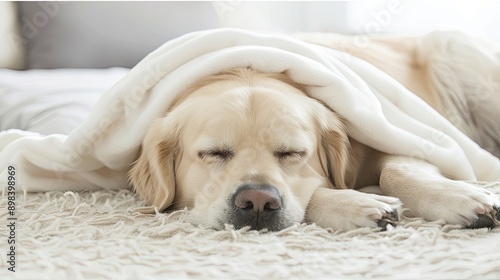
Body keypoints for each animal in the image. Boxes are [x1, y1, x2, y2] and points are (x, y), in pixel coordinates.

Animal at [130, 31, 500, 232]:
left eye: (292, 153)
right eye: (213, 154)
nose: (257, 200)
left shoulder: (403, 137)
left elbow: (395, 172)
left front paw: (459, 197)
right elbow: (313, 191)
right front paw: (358, 204)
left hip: (456, 51)